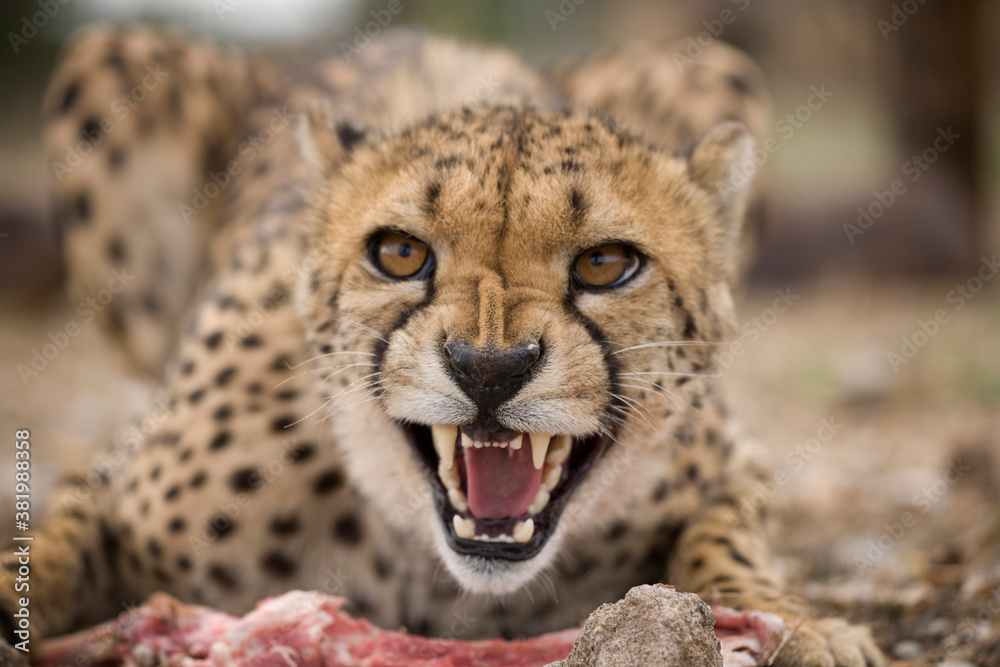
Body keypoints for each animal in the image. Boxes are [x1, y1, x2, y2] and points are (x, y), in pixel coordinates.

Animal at [1, 24, 884, 667]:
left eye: (606, 263)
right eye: (399, 253)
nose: (489, 369)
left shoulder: (734, 467)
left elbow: (724, 535)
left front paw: (801, 625)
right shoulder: (113, 488)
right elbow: (46, 550)